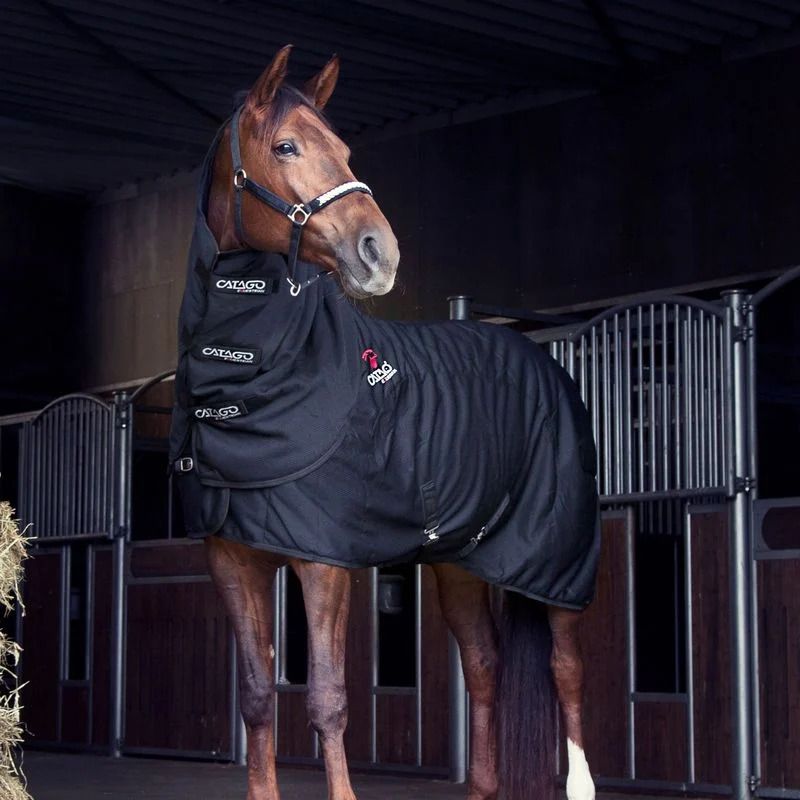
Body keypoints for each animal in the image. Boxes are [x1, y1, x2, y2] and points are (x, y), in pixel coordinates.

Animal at [170, 45, 600, 800]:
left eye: (345, 150)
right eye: (286, 146)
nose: (380, 252)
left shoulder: (323, 561)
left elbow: (327, 700)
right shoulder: (233, 560)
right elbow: (256, 697)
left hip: (556, 560)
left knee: (567, 671)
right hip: (462, 560)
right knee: (484, 662)